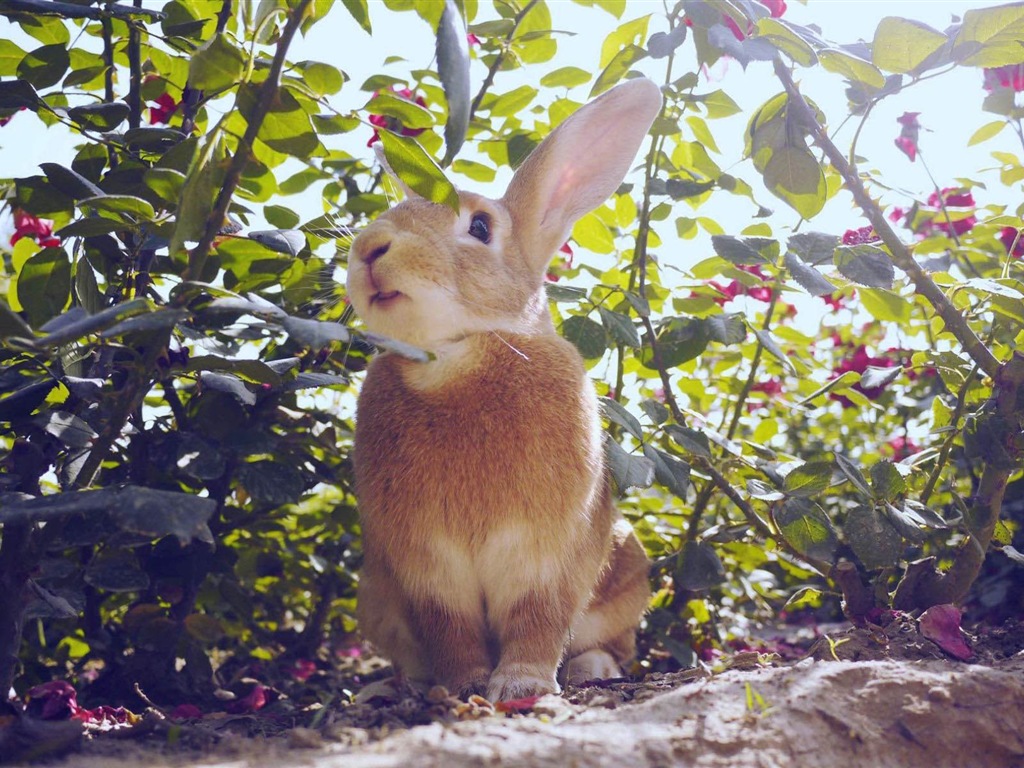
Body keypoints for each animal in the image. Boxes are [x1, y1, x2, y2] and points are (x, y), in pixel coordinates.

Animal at [348, 78, 659, 704]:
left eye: (480, 228)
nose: (369, 247)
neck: (452, 361)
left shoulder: (545, 555)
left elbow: (537, 619)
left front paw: (520, 685)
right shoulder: (429, 568)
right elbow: (451, 629)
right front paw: (466, 684)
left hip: (626, 571)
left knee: (612, 643)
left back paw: (591, 669)